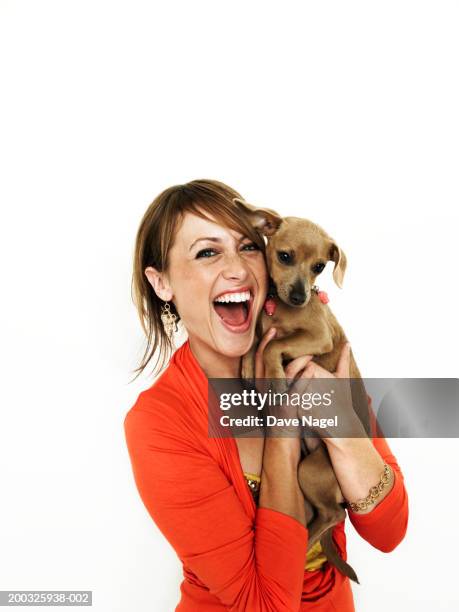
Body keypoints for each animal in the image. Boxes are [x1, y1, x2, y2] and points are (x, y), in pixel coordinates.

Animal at [234, 198, 374, 584]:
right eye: (284, 256)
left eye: (319, 267)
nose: (298, 297)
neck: (278, 310)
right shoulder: (263, 327)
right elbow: (257, 341)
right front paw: (248, 367)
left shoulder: (316, 337)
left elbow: (272, 346)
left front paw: (275, 378)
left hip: (310, 471)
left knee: (334, 516)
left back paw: (305, 542)